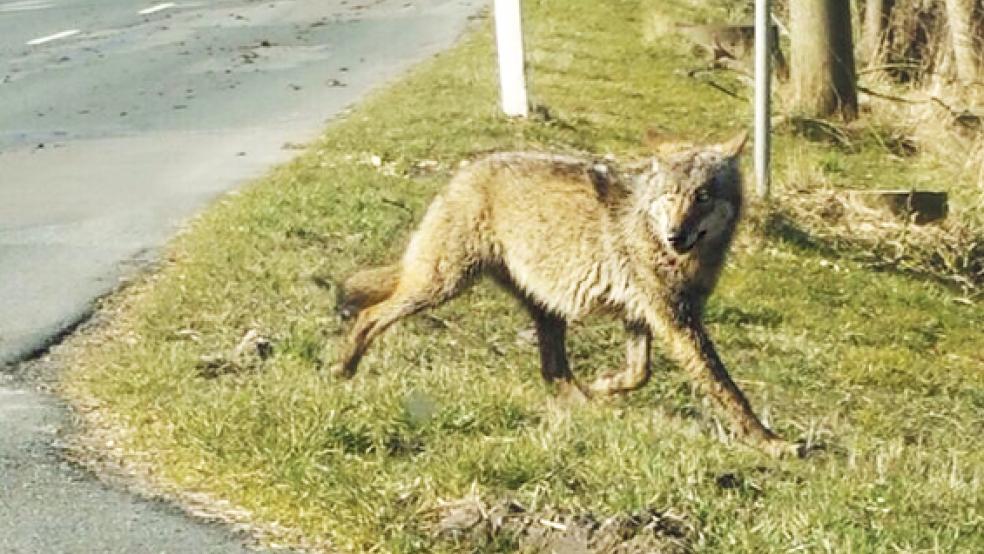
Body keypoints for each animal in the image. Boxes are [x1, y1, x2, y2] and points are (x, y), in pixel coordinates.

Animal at [334, 132, 796, 454]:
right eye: (670, 197)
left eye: (702, 197)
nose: (675, 236)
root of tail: (466, 169)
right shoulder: (675, 321)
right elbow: (727, 389)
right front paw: (771, 443)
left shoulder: (644, 316)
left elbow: (639, 373)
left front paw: (606, 384)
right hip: (442, 285)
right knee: (370, 316)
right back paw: (344, 369)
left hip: (544, 307)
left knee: (553, 372)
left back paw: (584, 401)